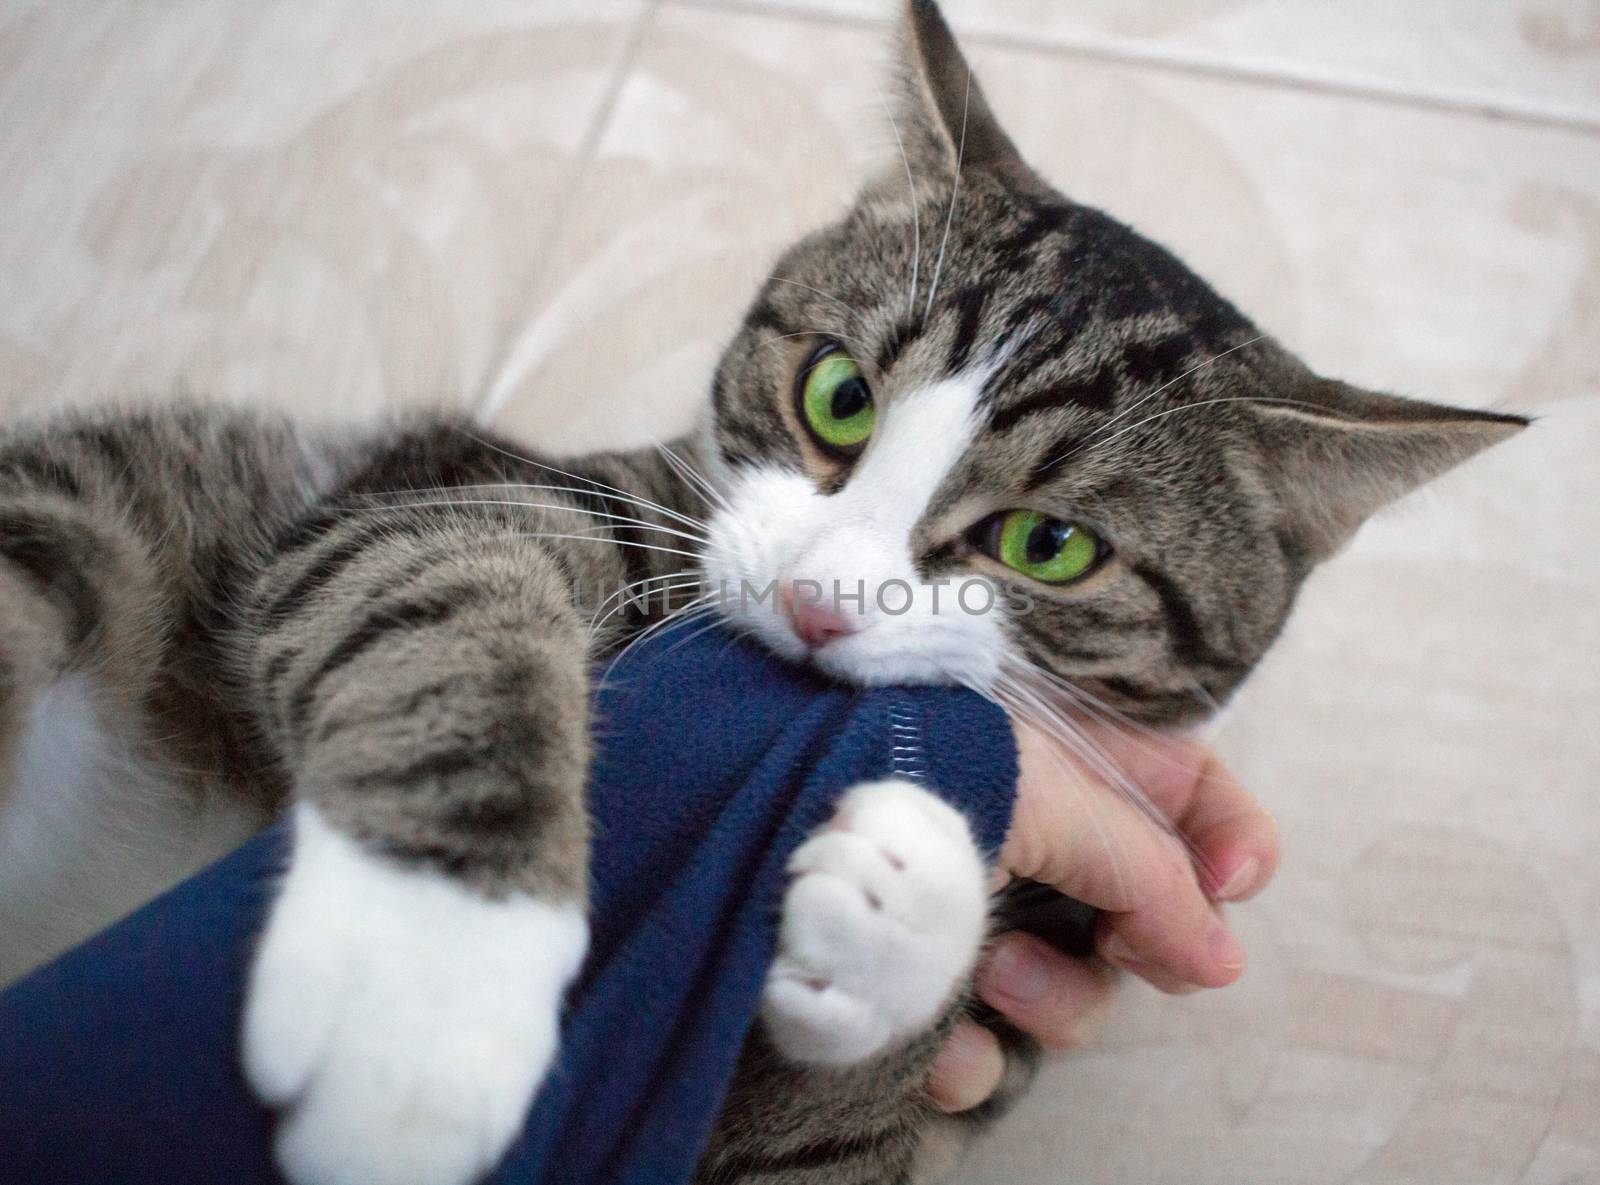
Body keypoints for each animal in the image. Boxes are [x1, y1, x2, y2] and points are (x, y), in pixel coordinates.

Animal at [0, 2, 1523, 1183]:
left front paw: (901, 904)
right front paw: (420, 987)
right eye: (838, 395)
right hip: (69, 540)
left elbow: (814, 1135)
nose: (818, 600)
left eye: (1049, 547)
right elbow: (442, 595)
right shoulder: (429, 486)